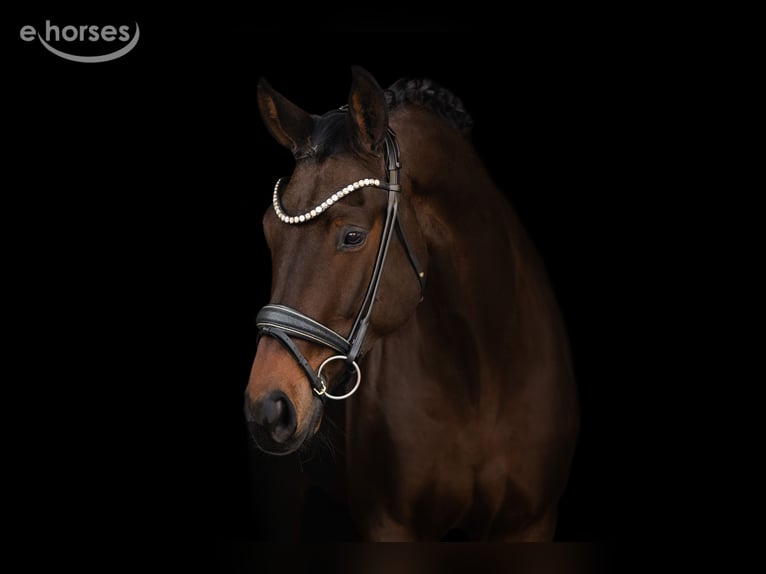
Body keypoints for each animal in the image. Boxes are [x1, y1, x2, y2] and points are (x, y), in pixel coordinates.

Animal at [244, 66, 579, 541]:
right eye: (269, 232)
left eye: (352, 236)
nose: (268, 408)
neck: (483, 375)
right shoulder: (390, 525)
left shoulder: (532, 523)